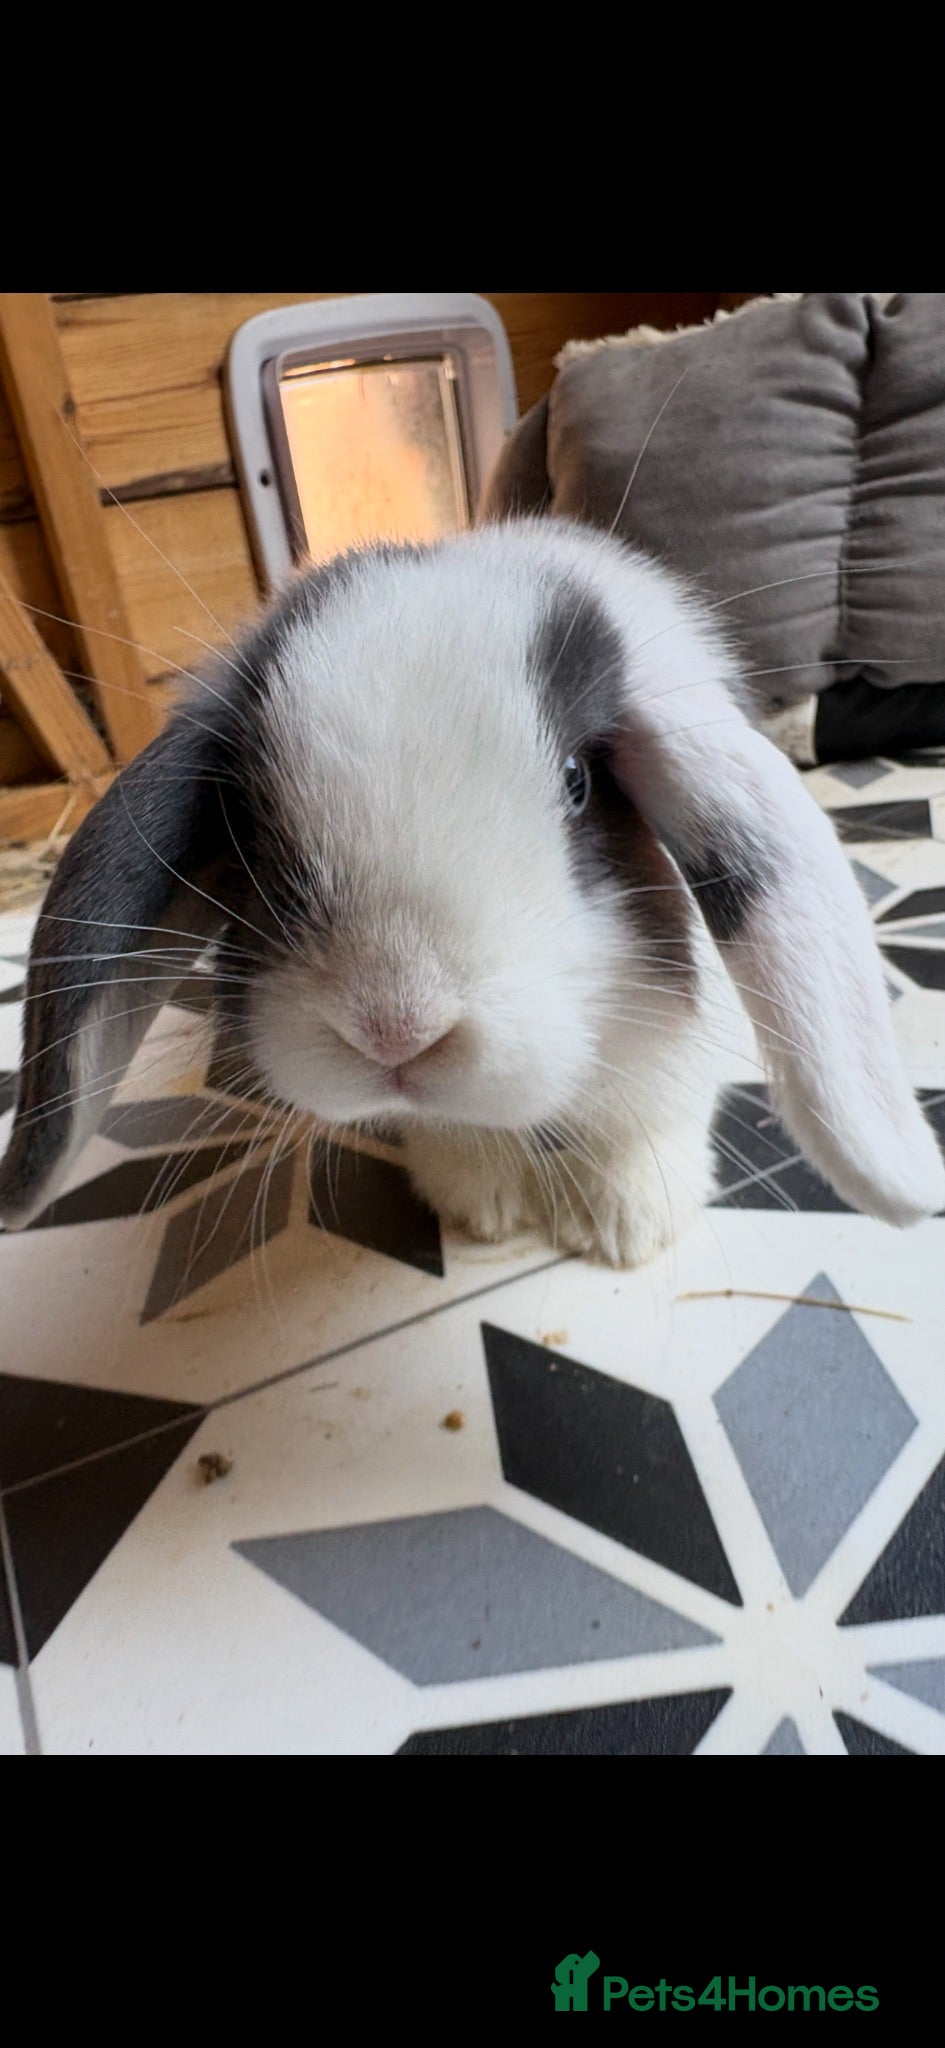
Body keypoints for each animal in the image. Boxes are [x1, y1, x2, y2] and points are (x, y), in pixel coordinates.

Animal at [0, 516, 942, 1265]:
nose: (395, 1029)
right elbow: (461, 1142)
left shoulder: (668, 1054)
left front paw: (625, 1228)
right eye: (250, 819)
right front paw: (481, 1211)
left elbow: (646, 1126)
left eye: (577, 784)